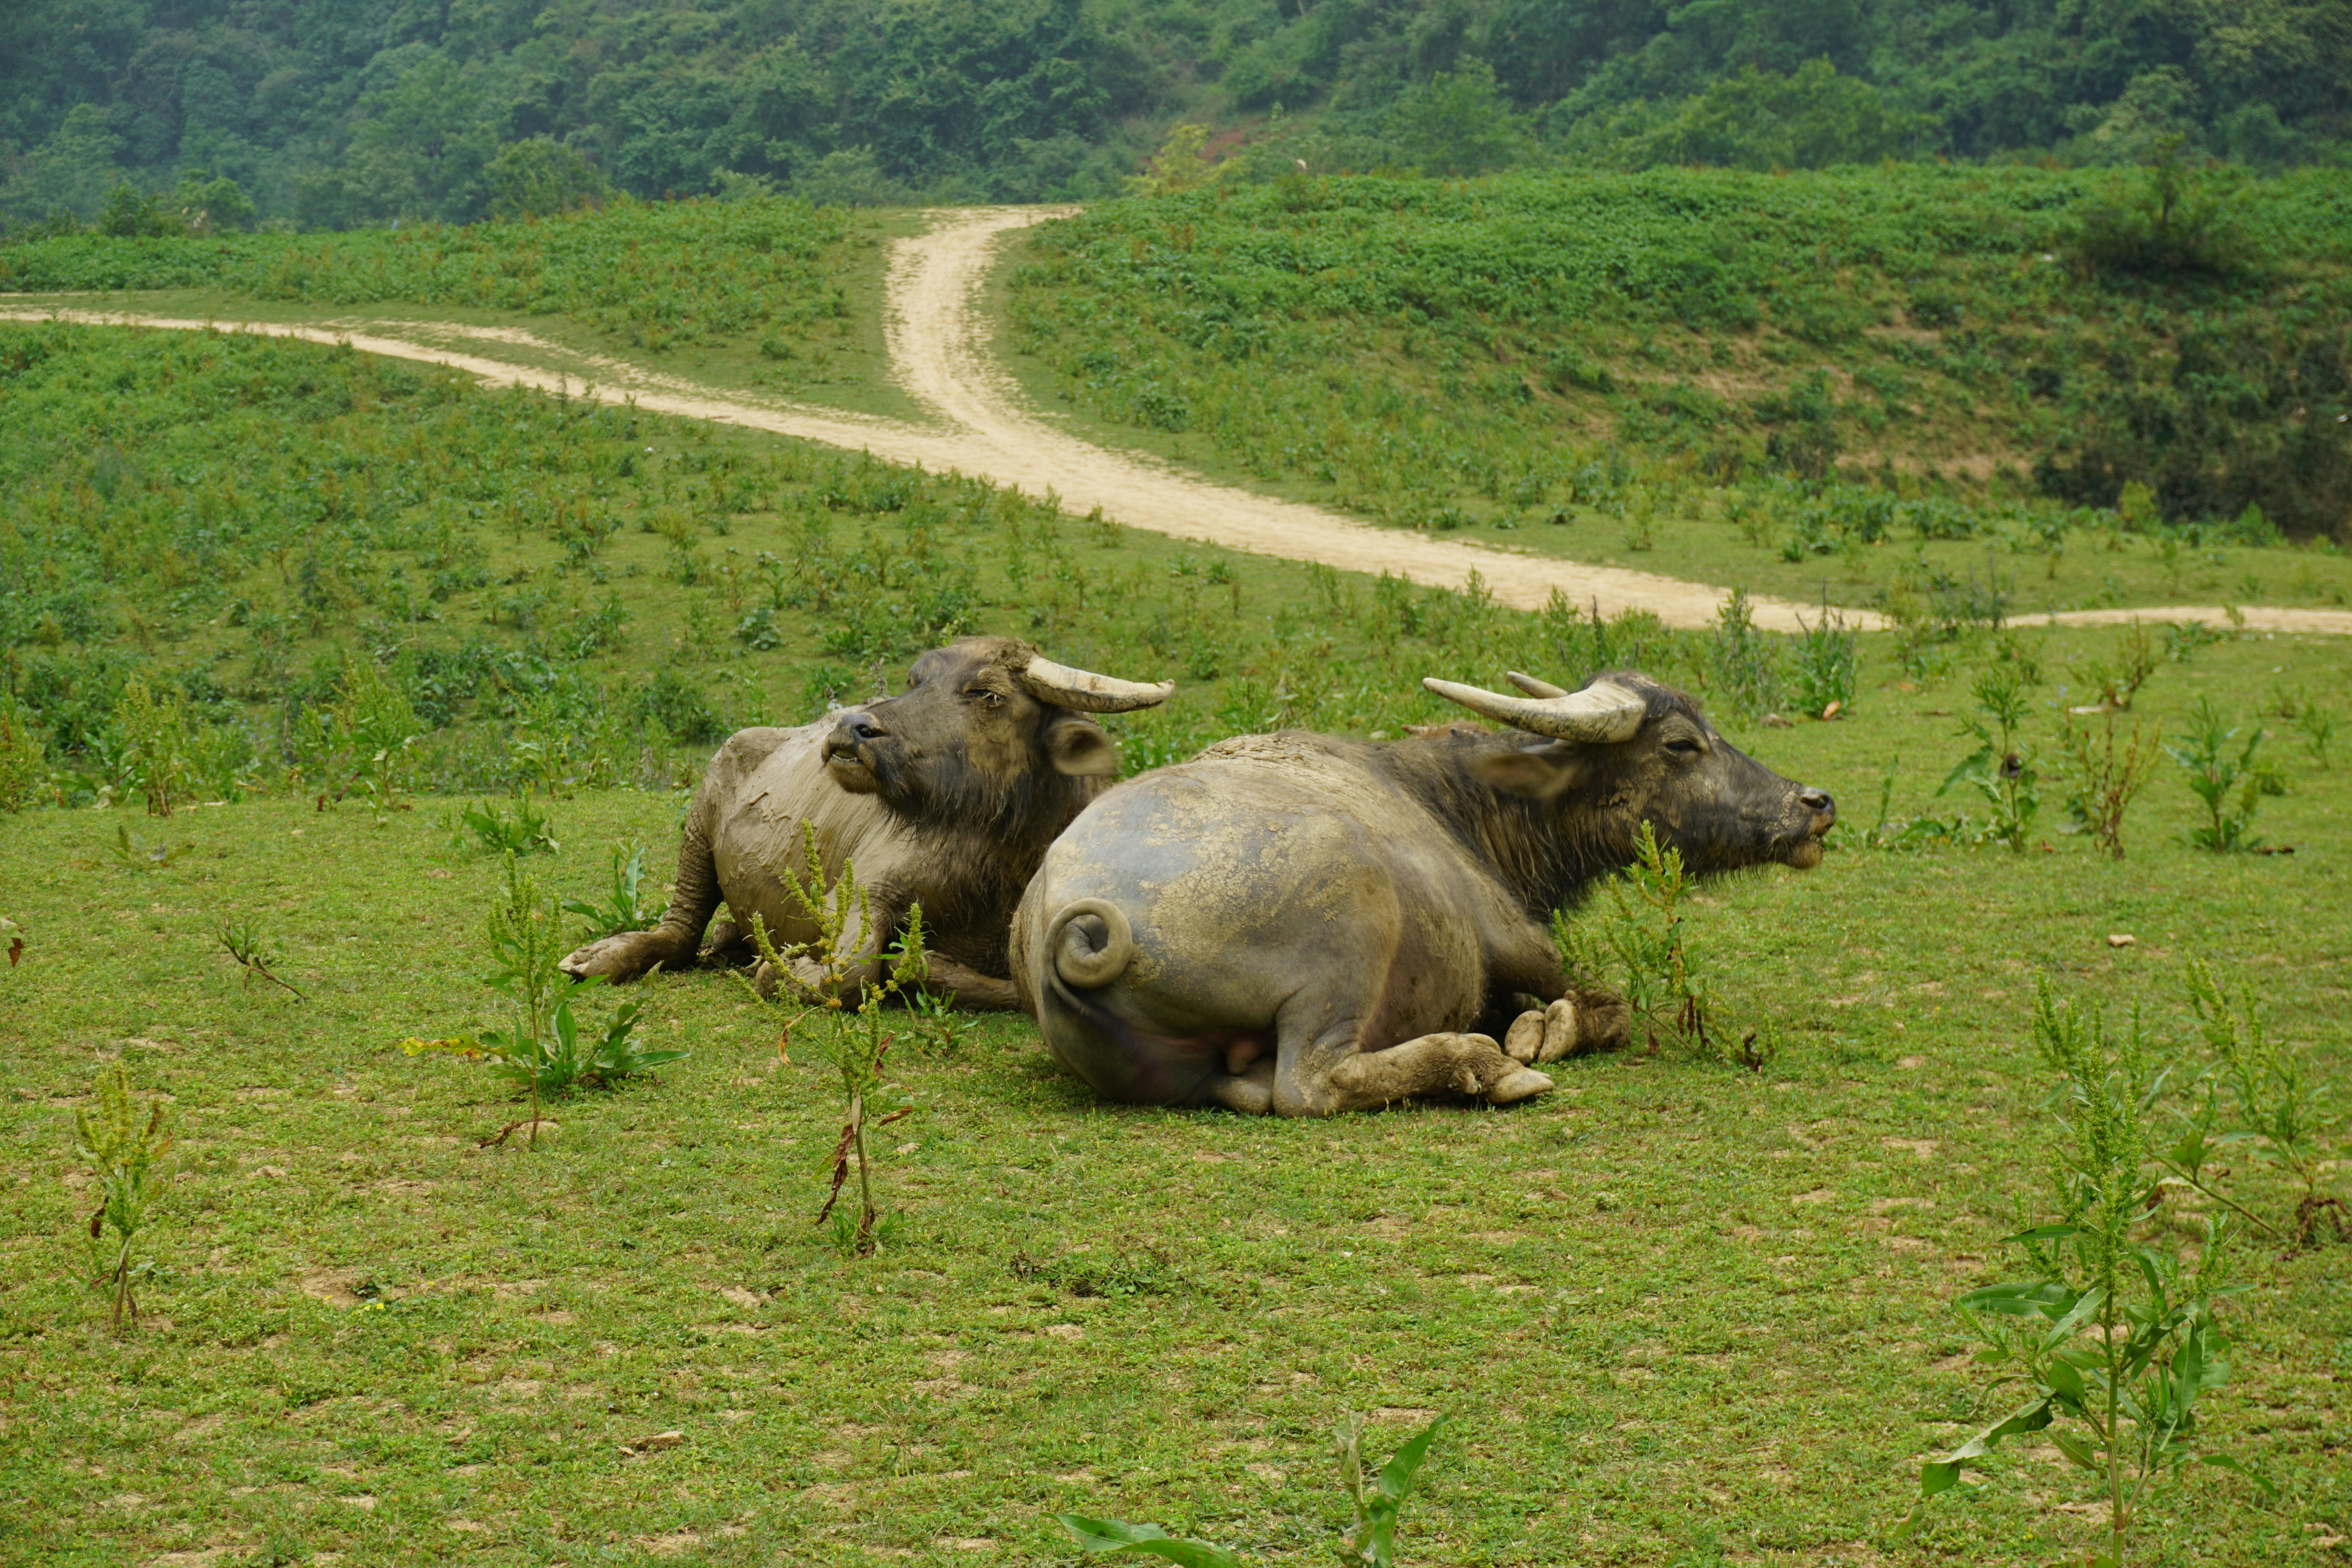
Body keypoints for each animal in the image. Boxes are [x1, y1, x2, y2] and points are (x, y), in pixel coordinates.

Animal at [563, 637, 1173, 1006]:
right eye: (915, 679)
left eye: (989, 693)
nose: (851, 729)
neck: (1000, 857)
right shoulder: (862, 889)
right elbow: (853, 969)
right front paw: (786, 971)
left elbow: (1016, 992)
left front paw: (923, 964)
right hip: (698, 827)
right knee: (679, 927)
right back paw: (599, 958)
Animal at [1010, 669, 1834, 1115]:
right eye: (1681, 744)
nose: (1815, 802)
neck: (1454, 801)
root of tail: (1066, 926)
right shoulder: (1519, 943)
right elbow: (1607, 1005)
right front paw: (1542, 1032)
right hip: (1350, 935)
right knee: (1310, 1085)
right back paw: (1485, 1064)